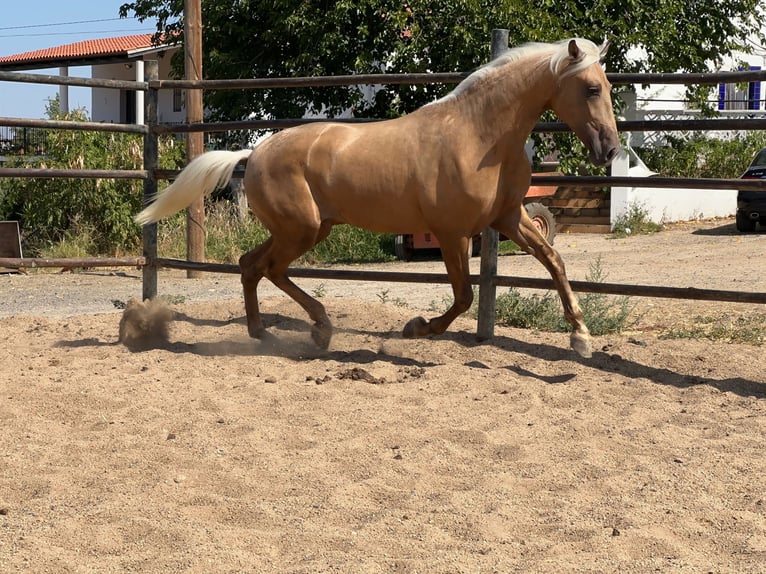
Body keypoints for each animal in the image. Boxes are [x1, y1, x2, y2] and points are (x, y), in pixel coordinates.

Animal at [135, 38, 620, 358]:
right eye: (592, 88)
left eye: (608, 86)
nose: (611, 149)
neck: (480, 136)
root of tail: (254, 153)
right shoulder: (453, 232)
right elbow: (464, 296)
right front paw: (416, 328)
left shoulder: (508, 218)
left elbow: (554, 262)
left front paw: (581, 337)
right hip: (301, 230)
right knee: (269, 269)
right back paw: (319, 329)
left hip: (304, 228)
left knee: (250, 265)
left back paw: (267, 334)